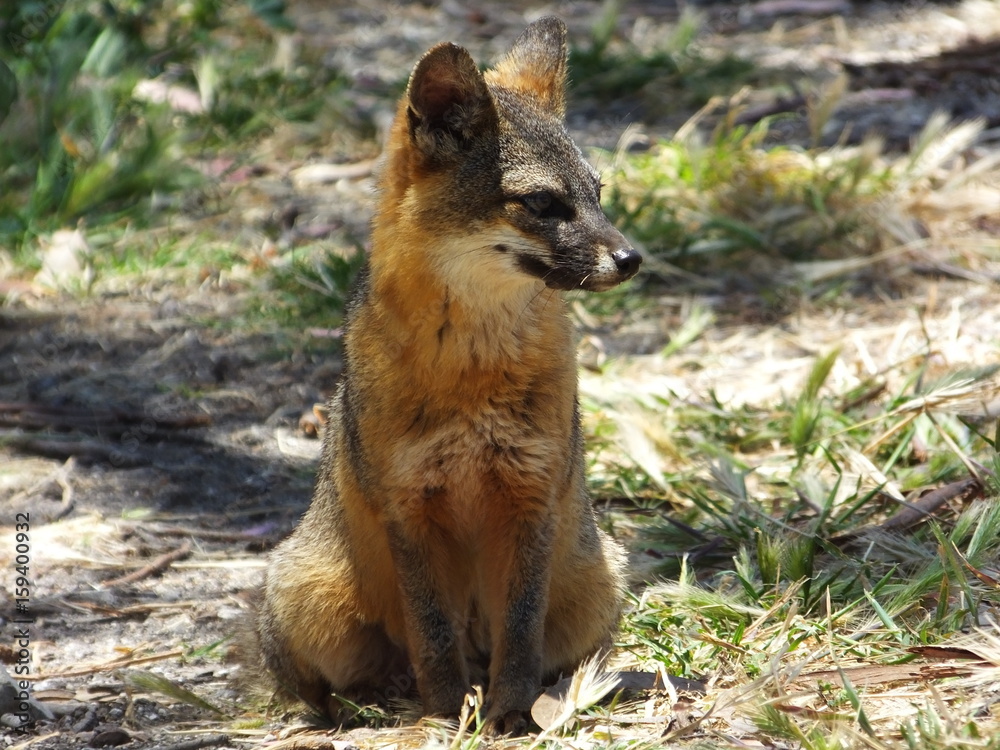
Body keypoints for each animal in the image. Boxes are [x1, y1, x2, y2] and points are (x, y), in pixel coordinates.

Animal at [249, 16, 641, 735]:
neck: (473, 374)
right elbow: (432, 635)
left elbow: (520, 633)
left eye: (598, 196)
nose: (631, 258)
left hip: (597, 585)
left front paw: (509, 712)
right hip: (305, 598)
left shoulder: (531, 496)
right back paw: (377, 703)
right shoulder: (409, 506)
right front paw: (446, 712)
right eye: (543, 203)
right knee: (338, 684)